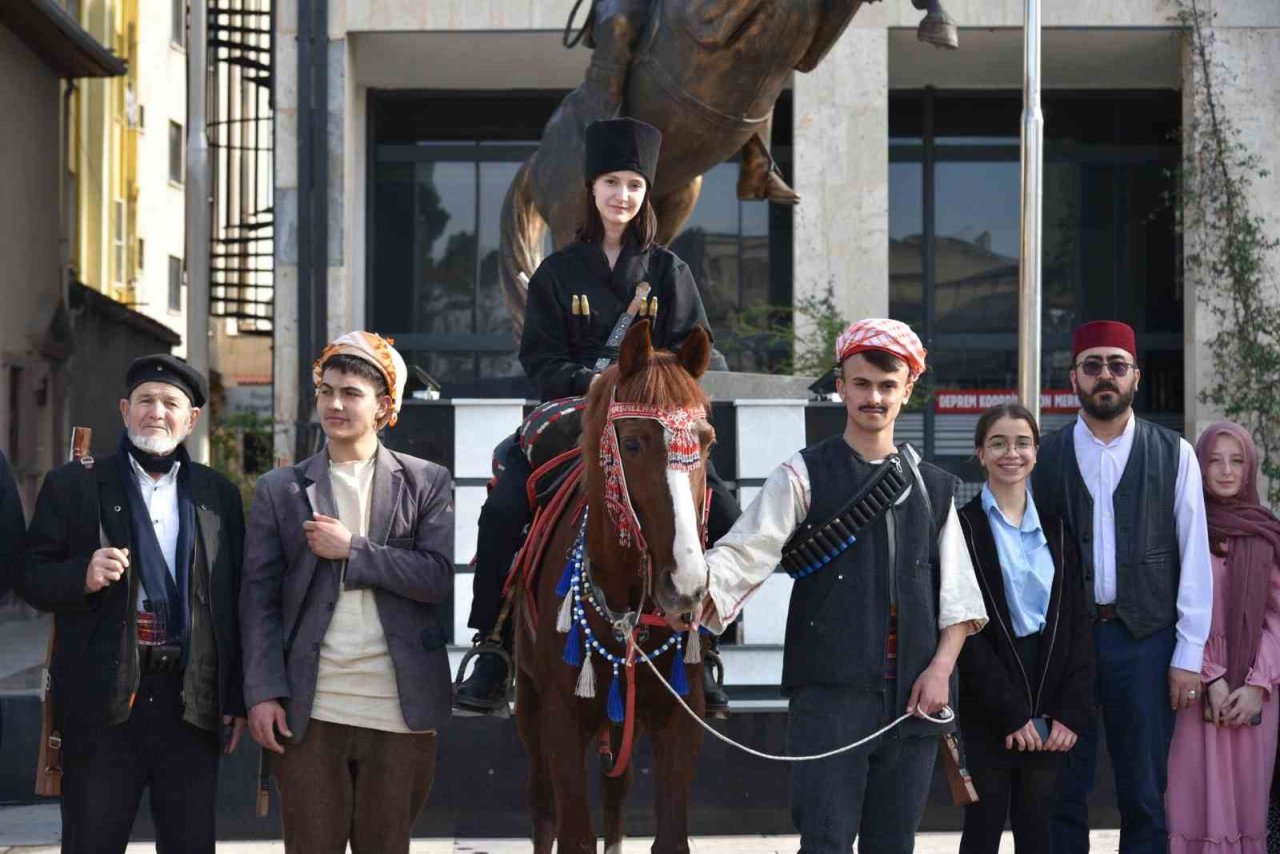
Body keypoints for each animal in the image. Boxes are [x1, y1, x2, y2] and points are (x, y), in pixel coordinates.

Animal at [517, 320, 721, 854]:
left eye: (707, 441)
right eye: (630, 444)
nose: (686, 584)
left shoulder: (679, 717)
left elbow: (669, 835)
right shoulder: (561, 720)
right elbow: (573, 833)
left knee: (615, 797)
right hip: (530, 702)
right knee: (542, 809)